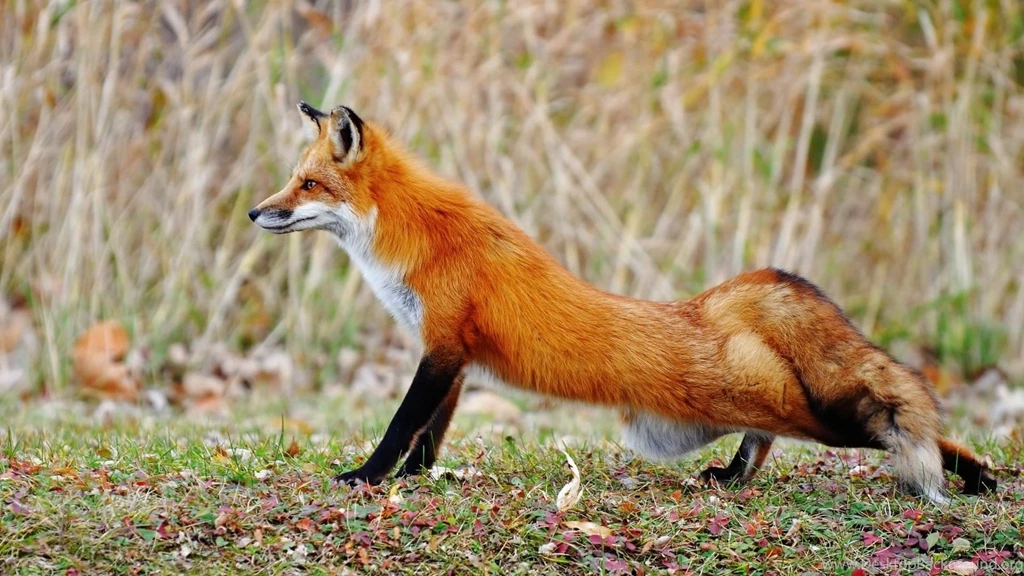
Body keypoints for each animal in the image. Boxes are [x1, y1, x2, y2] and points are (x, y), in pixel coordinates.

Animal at [248, 102, 996, 504]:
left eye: (307, 184)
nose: (256, 212)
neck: (415, 238)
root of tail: (714, 306)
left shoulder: (441, 347)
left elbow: (402, 424)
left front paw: (367, 477)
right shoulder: (453, 357)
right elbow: (428, 436)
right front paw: (420, 479)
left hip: (806, 414)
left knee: (884, 425)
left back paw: (978, 474)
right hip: (758, 405)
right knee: (771, 437)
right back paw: (733, 477)